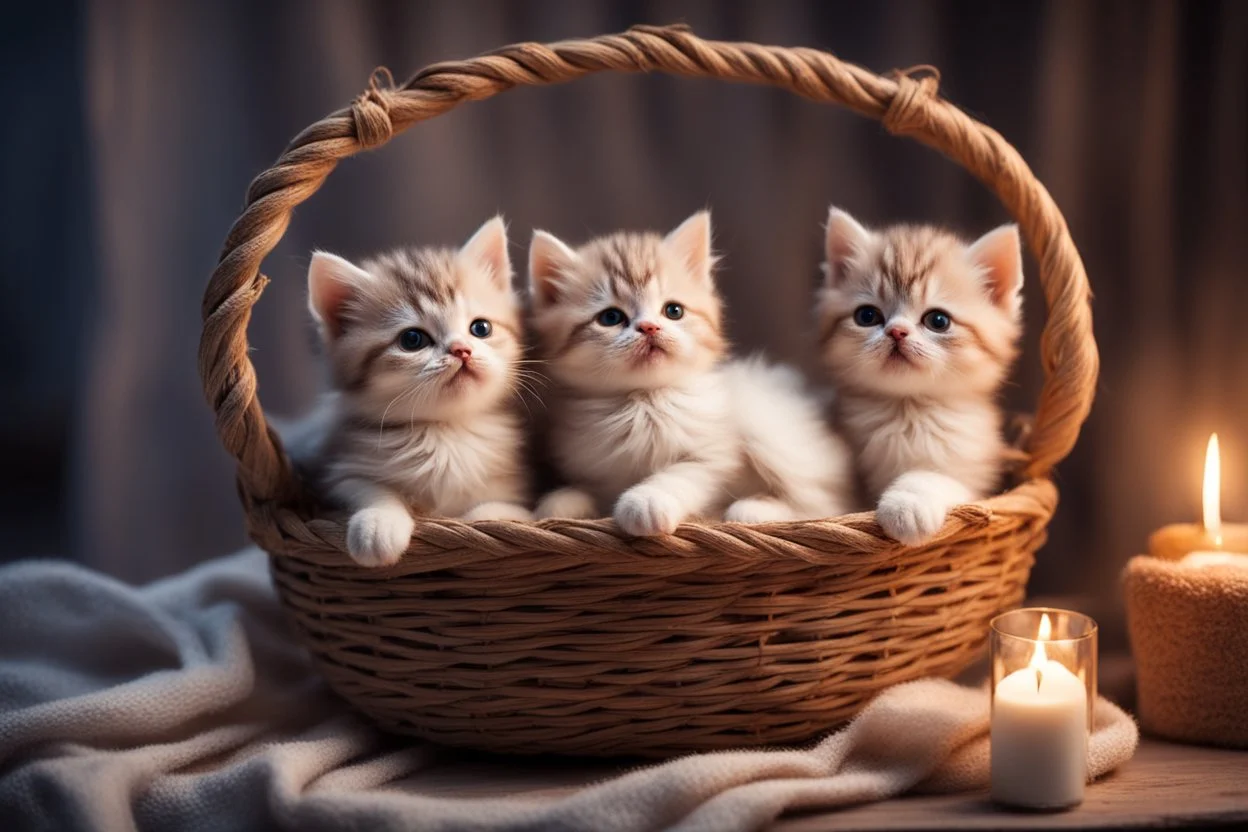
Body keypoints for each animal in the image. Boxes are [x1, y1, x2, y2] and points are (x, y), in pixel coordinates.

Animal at [303, 214, 536, 568]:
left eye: (480, 328)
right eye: (412, 340)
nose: (462, 350)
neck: (446, 433)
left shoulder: (516, 483)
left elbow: (503, 512)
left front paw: (485, 521)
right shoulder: (337, 470)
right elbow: (366, 487)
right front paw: (379, 522)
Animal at [526, 209, 858, 533]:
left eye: (673, 311)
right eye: (610, 317)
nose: (649, 327)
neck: (643, 401)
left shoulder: (714, 454)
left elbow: (680, 475)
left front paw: (646, 502)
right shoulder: (596, 467)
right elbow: (584, 489)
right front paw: (560, 502)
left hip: (768, 428)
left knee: (824, 505)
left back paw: (754, 509)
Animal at [818, 207, 1023, 546]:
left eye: (938, 320)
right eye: (867, 316)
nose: (897, 331)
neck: (907, 410)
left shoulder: (979, 482)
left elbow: (935, 477)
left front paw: (907, 504)